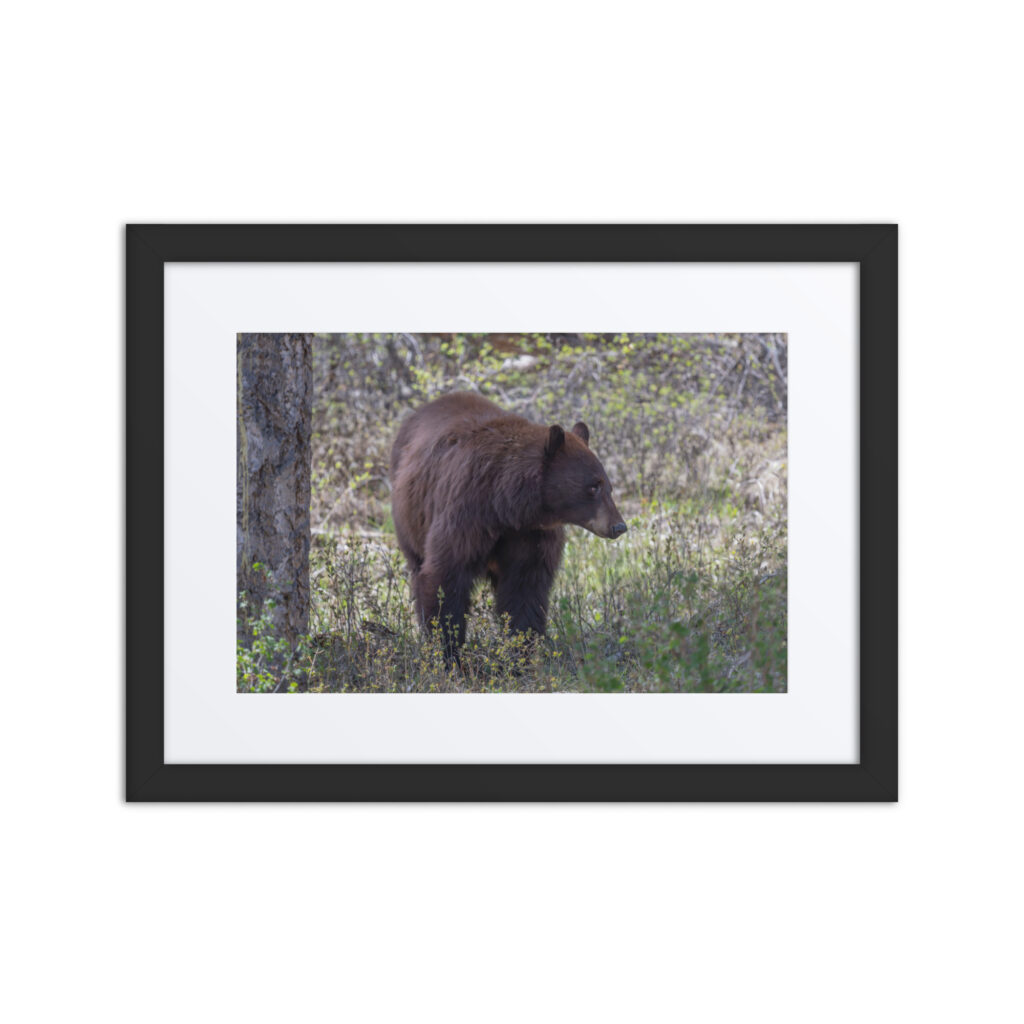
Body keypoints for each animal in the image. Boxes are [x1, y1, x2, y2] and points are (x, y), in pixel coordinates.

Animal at [389, 391, 626, 659]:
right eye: (593, 486)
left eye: (608, 486)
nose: (619, 526)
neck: (507, 507)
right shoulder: (467, 514)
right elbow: (446, 575)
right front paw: (448, 651)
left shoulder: (532, 534)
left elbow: (525, 588)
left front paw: (518, 652)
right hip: (410, 519)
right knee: (418, 568)